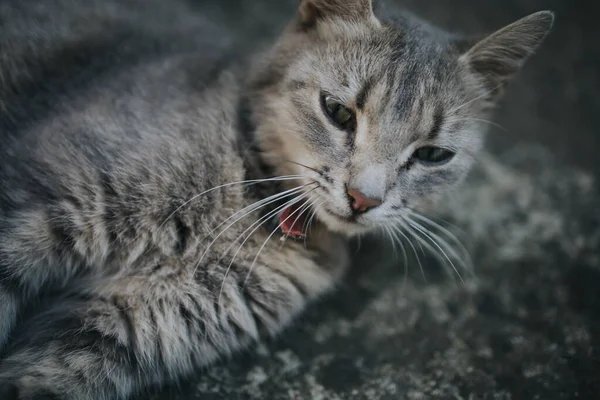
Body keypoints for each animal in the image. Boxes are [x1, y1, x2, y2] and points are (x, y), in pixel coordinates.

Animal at [0, 0, 552, 398]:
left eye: (433, 154)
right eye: (338, 112)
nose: (364, 198)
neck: (246, 198)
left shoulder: (124, 326)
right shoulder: (37, 210)